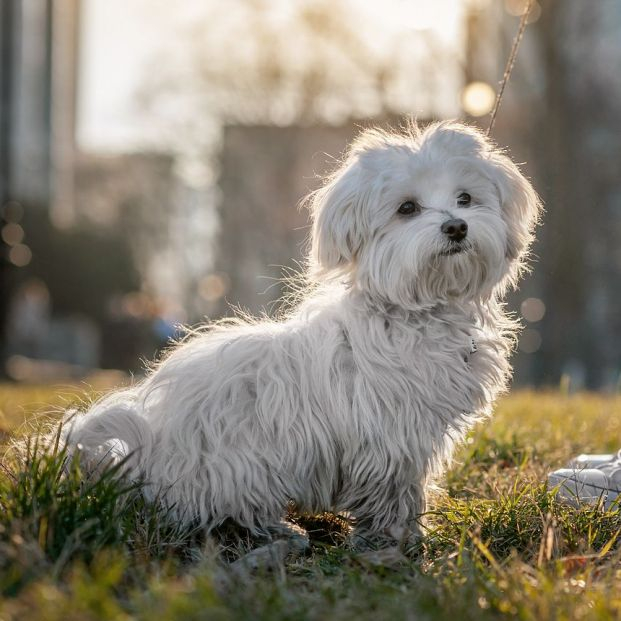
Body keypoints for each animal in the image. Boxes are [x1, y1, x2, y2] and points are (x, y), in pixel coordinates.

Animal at [63, 121, 536, 552]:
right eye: (407, 208)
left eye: (465, 198)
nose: (456, 227)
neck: (416, 309)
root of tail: (148, 460)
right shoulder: (389, 439)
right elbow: (396, 493)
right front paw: (398, 541)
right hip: (243, 467)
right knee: (227, 516)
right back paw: (280, 531)